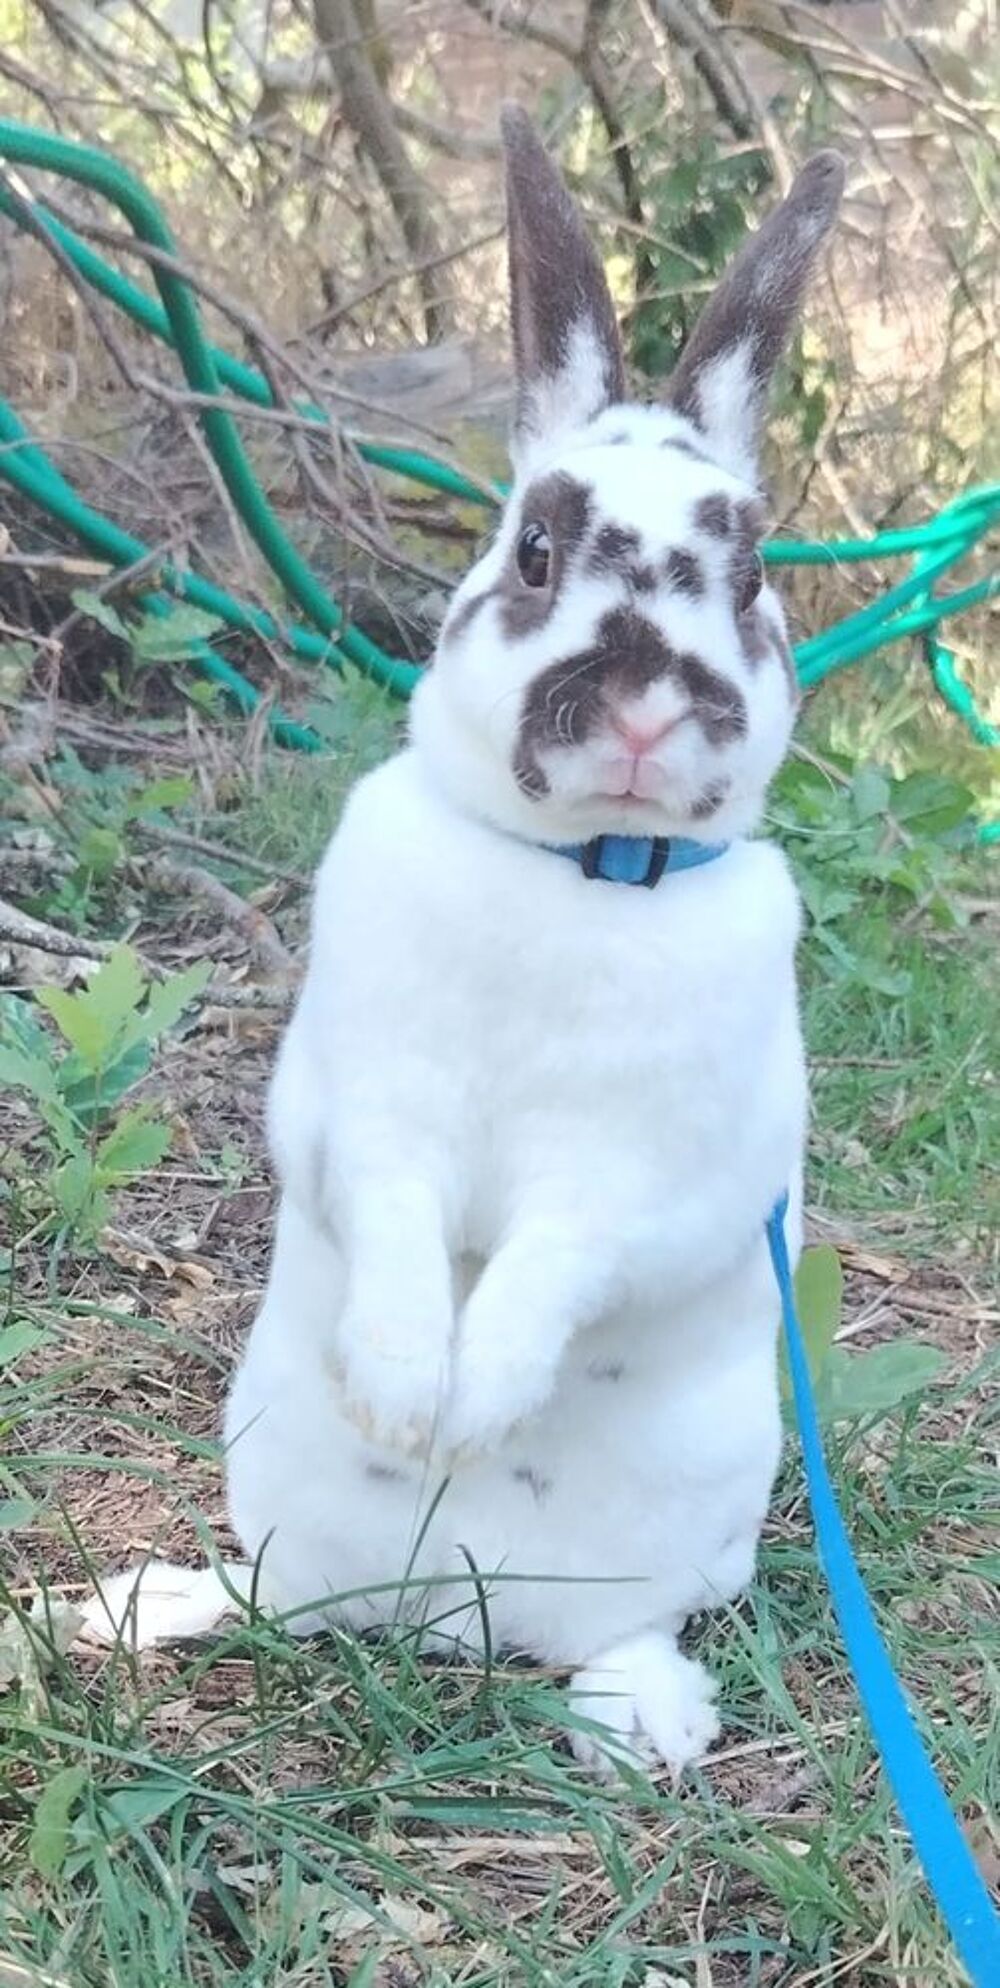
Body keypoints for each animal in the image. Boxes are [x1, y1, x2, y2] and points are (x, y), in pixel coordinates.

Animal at [83, 109, 843, 1779]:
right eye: (541, 549)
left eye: (752, 576)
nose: (645, 706)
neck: (583, 877)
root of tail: (446, 1621)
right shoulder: (362, 1114)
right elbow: (395, 1223)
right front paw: (401, 1399)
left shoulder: (650, 1183)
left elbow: (558, 1261)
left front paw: (471, 1407)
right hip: (277, 1504)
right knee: (267, 1596)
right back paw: (122, 1613)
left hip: (683, 1539)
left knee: (625, 1630)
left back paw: (642, 1720)